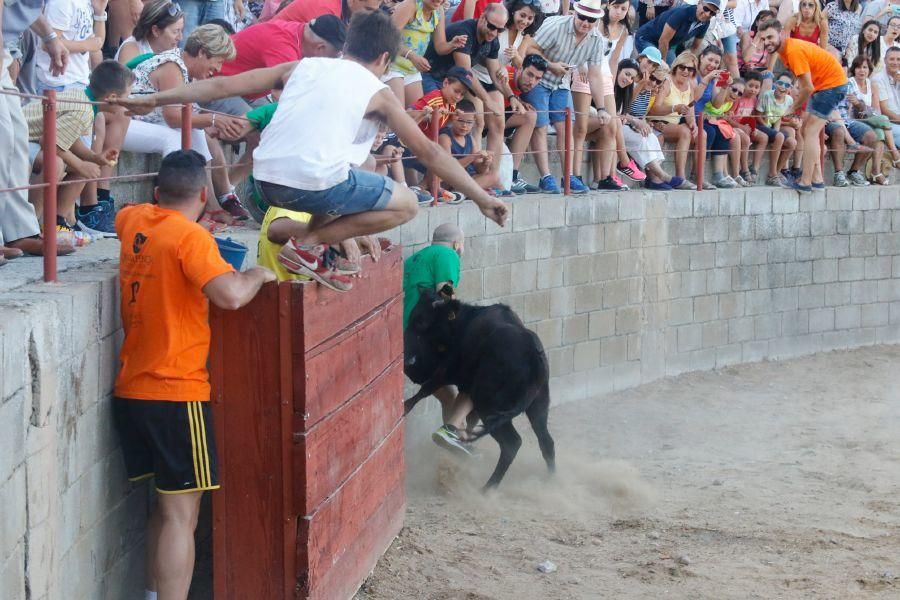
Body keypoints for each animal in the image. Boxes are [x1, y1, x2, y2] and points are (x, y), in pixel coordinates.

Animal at [402, 288, 556, 490]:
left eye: (421, 322)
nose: (408, 363)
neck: (463, 323)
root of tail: (532, 357)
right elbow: (469, 418)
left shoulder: (452, 369)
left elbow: (427, 388)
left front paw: (404, 406)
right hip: (538, 405)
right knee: (546, 441)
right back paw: (552, 480)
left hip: (488, 404)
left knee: (512, 443)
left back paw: (487, 489)